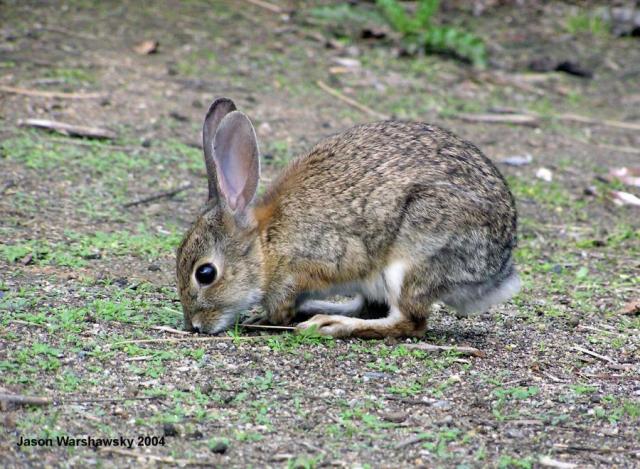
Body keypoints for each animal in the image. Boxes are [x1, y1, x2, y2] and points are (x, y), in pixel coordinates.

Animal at [176, 98, 520, 336]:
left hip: (412, 258)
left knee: (408, 321)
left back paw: (329, 324)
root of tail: (497, 270)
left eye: (205, 273)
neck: (267, 245)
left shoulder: (310, 265)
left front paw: (267, 317)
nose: (195, 325)